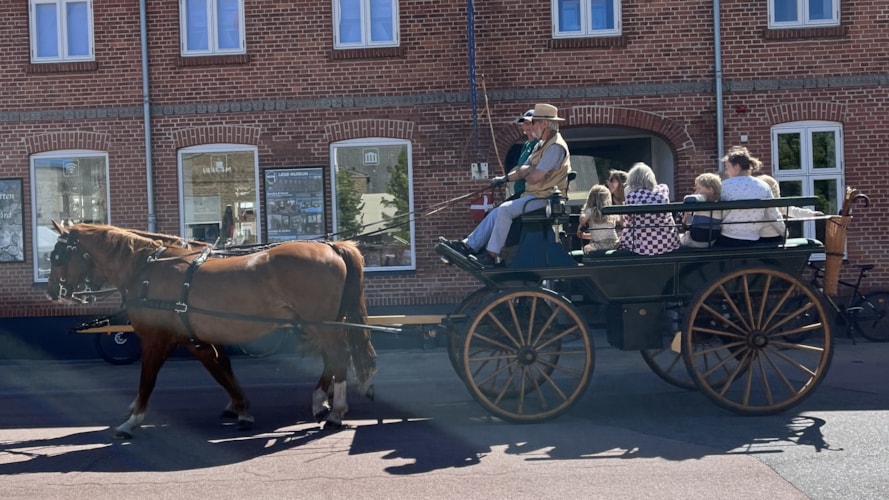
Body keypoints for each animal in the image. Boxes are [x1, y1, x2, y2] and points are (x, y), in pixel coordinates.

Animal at [45, 222, 374, 438]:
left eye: (57, 256)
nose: (51, 292)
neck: (147, 270)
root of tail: (331, 247)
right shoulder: (196, 340)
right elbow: (221, 371)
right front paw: (241, 408)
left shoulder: (155, 339)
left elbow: (147, 379)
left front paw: (134, 419)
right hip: (319, 323)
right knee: (332, 358)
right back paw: (321, 400)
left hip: (321, 323)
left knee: (339, 356)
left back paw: (335, 411)